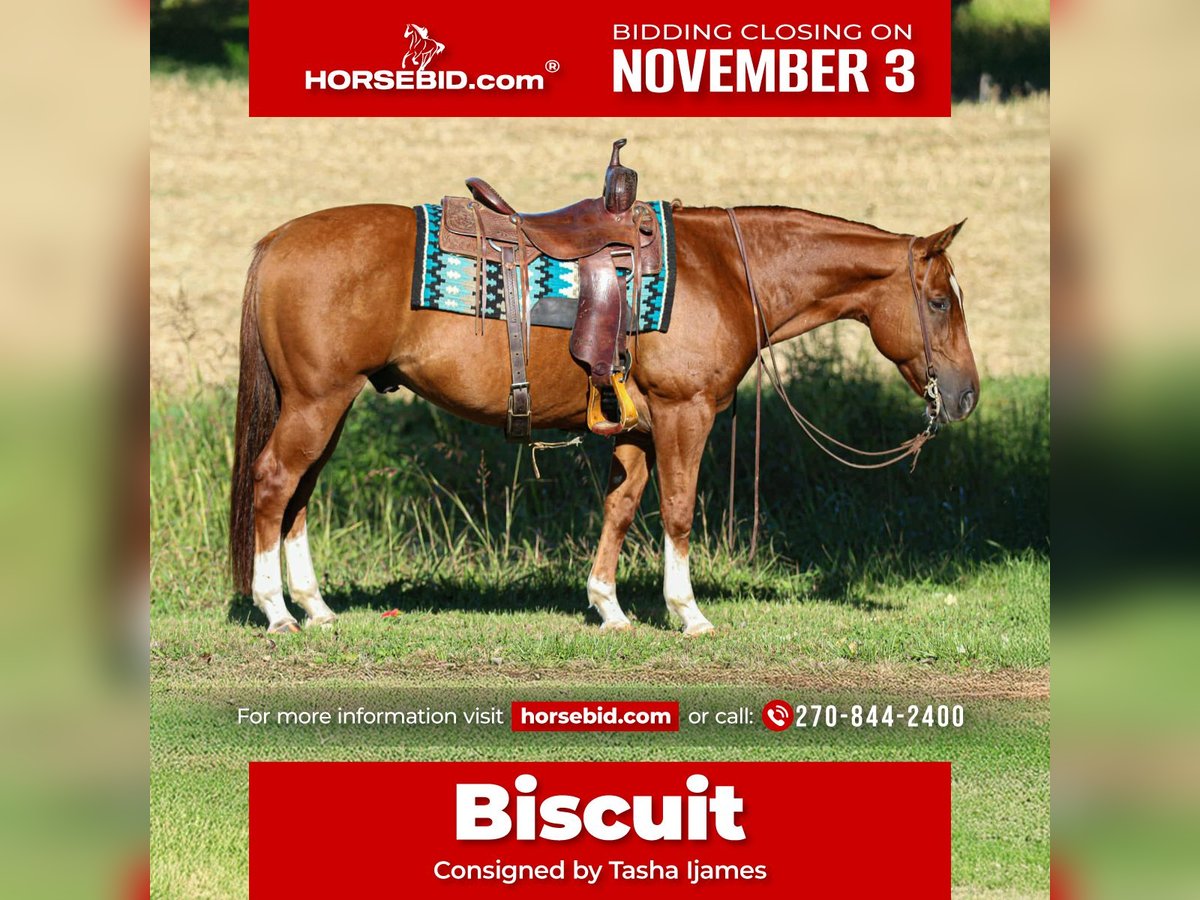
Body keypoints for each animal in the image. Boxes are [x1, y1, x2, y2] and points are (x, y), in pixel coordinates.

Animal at [228, 204, 978, 635]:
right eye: (939, 301)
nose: (966, 396)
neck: (723, 270)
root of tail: (276, 240)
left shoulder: (639, 430)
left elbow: (621, 507)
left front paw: (609, 608)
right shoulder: (684, 415)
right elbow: (678, 510)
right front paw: (687, 612)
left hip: (328, 404)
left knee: (299, 494)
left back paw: (316, 607)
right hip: (317, 401)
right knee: (275, 484)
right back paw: (276, 611)